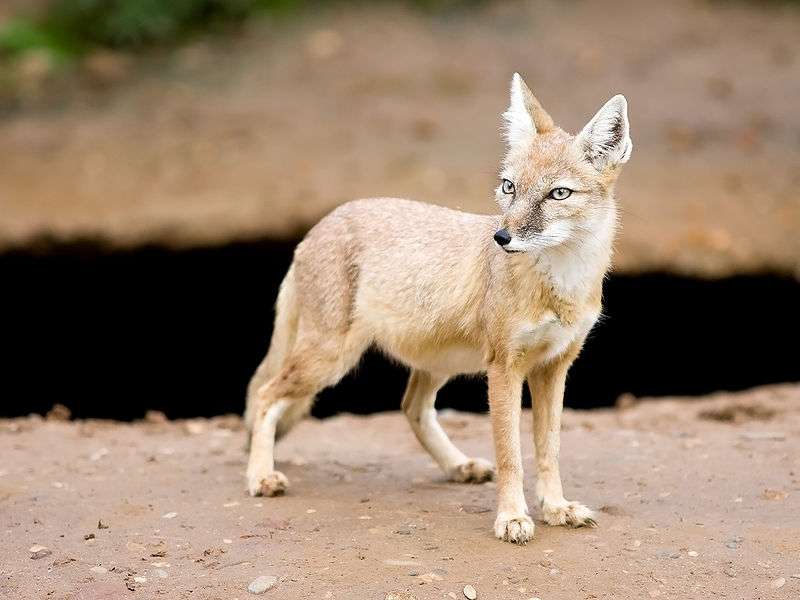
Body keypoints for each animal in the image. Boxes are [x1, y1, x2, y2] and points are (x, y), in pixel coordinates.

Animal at [244, 73, 632, 544]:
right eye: (509, 187)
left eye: (558, 194)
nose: (501, 237)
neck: (561, 285)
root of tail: (319, 225)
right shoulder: (505, 367)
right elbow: (511, 454)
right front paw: (512, 517)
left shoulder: (554, 366)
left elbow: (548, 448)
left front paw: (555, 508)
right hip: (330, 360)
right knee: (265, 395)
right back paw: (260, 476)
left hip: (437, 363)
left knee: (412, 407)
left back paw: (458, 466)